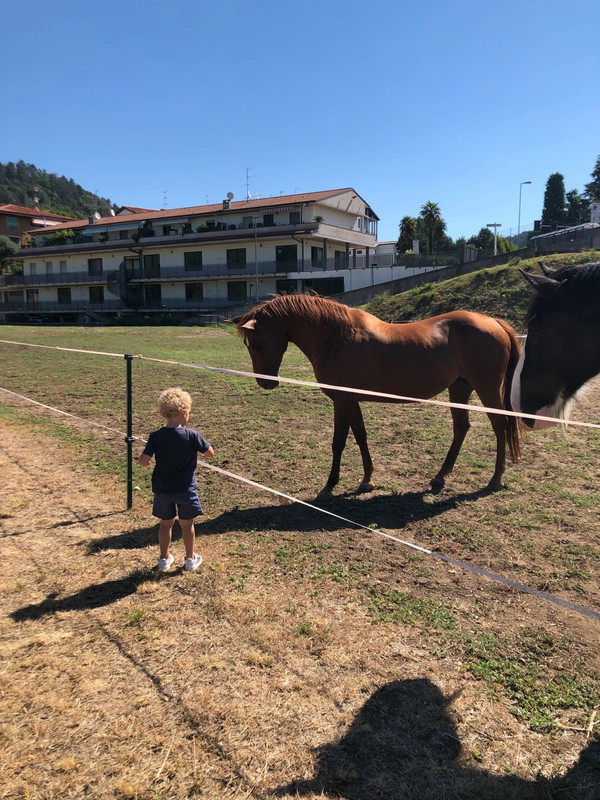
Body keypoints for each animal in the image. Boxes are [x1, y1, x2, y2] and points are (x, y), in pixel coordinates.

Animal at [233, 294, 520, 494]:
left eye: (257, 344)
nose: (265, 383)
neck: (335, 337)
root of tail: (493, 322)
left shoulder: (342, 401)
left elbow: (339, 442)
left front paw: (330, 485)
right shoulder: (351, 400)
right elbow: (361, 436)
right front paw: (366, 480)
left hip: (486, 388)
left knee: (500, 425)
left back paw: (495, 478)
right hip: (460, 387)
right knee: (461, 427)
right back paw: (440, 476)